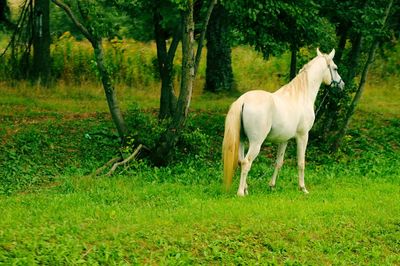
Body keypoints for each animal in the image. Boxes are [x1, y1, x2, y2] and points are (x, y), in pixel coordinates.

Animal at [222, 48, 344, 196]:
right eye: (335, 68)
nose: (342, 85)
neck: (301, 95)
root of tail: (243, 100)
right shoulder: (303, 136)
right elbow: (301, 163)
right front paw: (303, 188)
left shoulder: (284, 140)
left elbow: (278, 162)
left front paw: (272, 186)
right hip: (256, 143)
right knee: (246, 162)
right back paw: (241, 192)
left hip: (242, 140)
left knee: (240, 161)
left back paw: (245, 189)